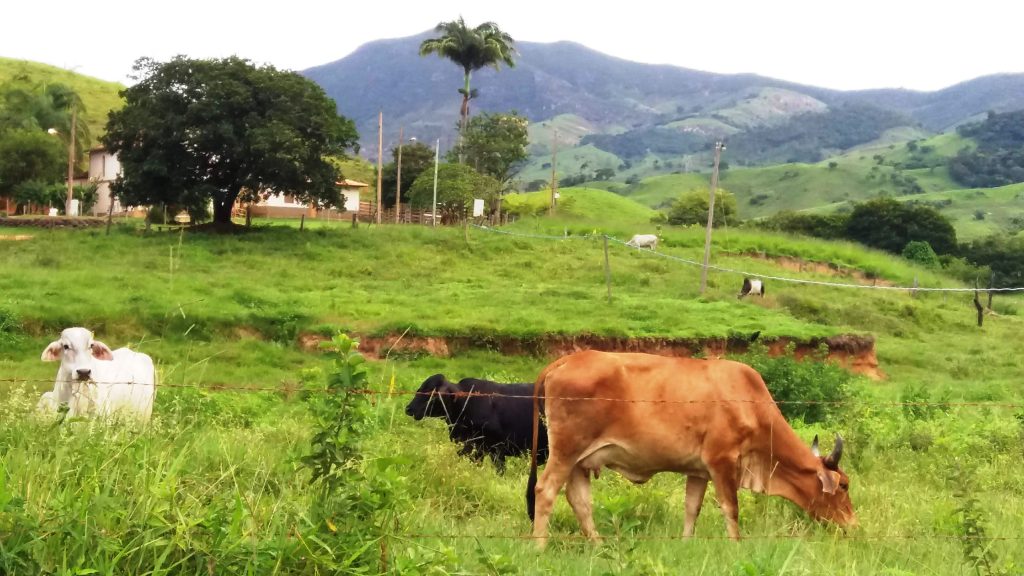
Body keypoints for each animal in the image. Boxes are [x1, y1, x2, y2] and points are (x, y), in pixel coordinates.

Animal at [528, 348, 856, 545]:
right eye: (844, 486)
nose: (853, 524)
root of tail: (566, 360)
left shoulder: (698, 471)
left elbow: (691, 508)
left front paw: (687, 542)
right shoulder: (722, 461)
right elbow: (731, 509)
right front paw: (736, 546)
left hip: (579, 461)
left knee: (579, 500)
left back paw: (598, 544)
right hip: (566, 450)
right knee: (545, 490)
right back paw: (538, 546)